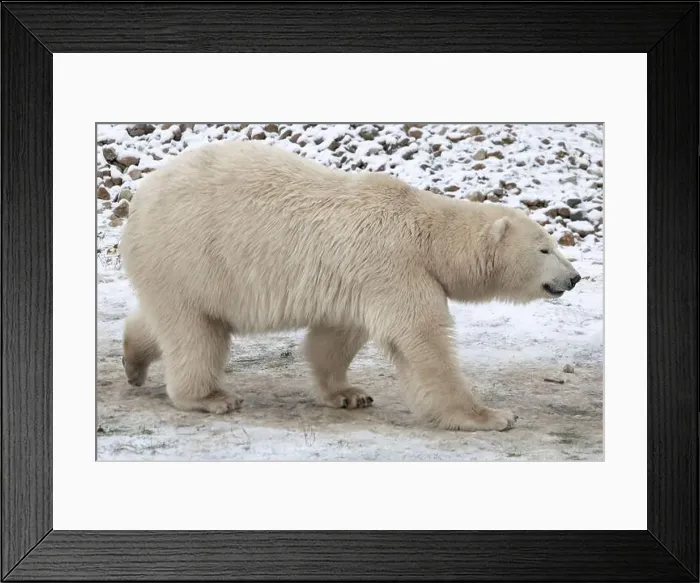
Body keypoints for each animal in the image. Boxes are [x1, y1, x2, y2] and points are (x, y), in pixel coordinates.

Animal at [118, 140, 581, 431]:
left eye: (555, 243)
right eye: (544, 248)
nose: (574, 277)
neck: (424, 232)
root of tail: (138, 201)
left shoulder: (358, 278)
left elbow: (336, 337)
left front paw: (348, 393)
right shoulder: (393, 266)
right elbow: (421, 339)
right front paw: (491, 416)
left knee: (173, 321)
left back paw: (133, 362)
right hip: (190, 254)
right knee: (194, 332)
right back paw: (211, 397)